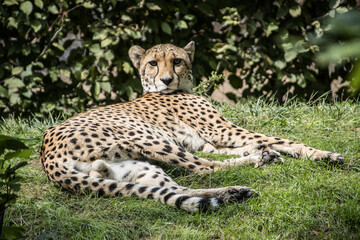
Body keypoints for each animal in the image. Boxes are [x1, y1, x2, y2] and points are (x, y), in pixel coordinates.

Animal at [40, 40, 344, 212]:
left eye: (177, 61)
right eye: (153, 63)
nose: (166, 80)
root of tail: (47, 157)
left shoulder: (205, 140)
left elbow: (233, 149)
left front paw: (258, 151)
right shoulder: (220, 130)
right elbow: (277, 139)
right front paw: (322, 154)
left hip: (134, 168)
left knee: (179, 190)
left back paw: (234, 193)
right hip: (152, 140)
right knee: (204, 169)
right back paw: (255, 167)